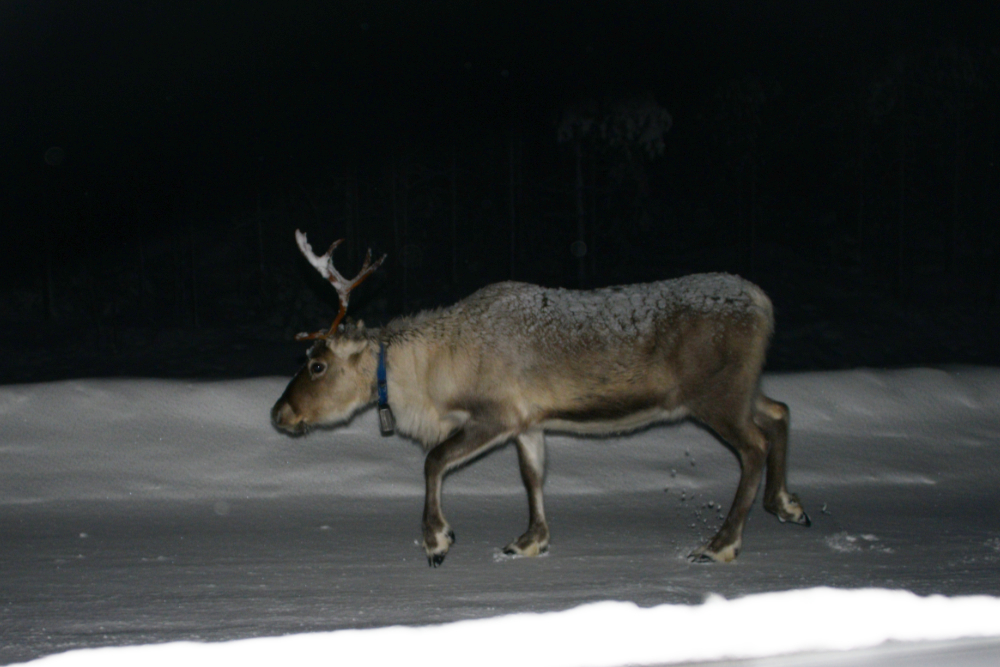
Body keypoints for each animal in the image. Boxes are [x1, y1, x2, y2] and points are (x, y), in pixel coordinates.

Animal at [271, 230, 810, 567]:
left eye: (317, 365)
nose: (279, 413)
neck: (432, 377)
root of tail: (764, 303)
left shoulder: (496, 414)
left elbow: (433, 460)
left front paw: (437, 540)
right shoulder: (529, 421)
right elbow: (533, 476)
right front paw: (531, 541)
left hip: (716, 394)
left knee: (754, 446)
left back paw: (721, 545)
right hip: (741, 388)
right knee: (779, 411)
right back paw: (787, 505)